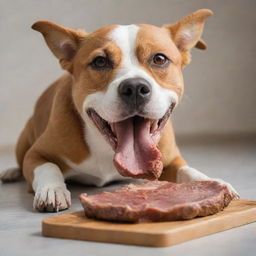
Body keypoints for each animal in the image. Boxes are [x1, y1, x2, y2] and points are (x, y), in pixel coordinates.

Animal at [1, 8, 239, 212]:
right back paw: (11, 172)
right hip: (24, 140)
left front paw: (210, 182)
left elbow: (188, 170)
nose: (134, 88)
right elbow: (49, 167)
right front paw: (52, 190)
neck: (108, 148)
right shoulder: (36, 154)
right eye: (100, 61)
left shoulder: (171, 160)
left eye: (159, 58)